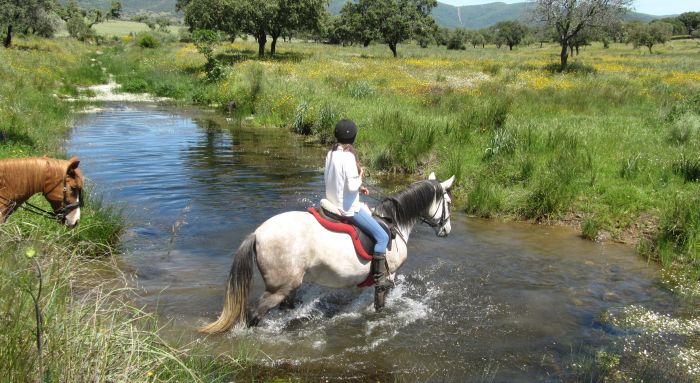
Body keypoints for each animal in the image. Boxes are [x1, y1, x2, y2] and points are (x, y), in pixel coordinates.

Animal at [200, 172, 456, 334]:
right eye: (449, 202)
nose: (447, 230)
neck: (395, 223)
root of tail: (258, 233)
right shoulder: (388, 276)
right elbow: (380, 304)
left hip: (289, 285)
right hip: (278, 288)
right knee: (254, 314)